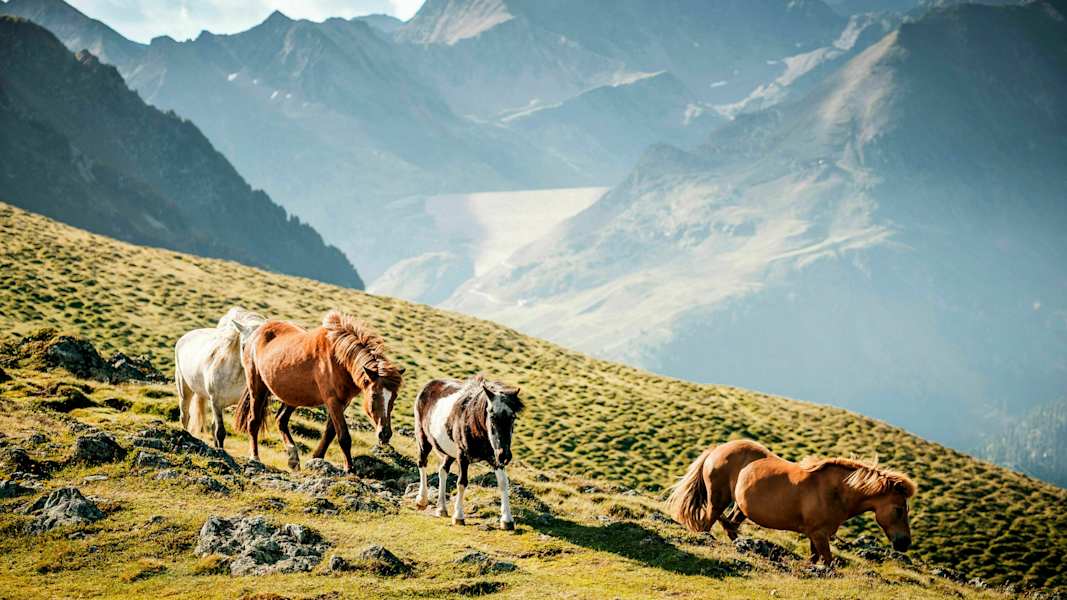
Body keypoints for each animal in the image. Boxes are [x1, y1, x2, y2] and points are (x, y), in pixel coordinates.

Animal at [174, 306, 266, 448]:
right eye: (244, 345)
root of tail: (184, 338)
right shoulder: (216, 402)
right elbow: (220, 432)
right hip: (185, 391)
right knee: (185, 416)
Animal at [234, 310, 404, 473]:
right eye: (374, 395)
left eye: (394, 397)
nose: (385, 434)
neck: (338, 359)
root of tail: (257, 332)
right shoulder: (332, 401)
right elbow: (343, 436)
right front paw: (350, 468)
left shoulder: (343, 402)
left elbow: (330, 433)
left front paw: (317, 458)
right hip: (257, 387)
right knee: (254, 421)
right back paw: (255, 457)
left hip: (294, 395)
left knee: (281, 420)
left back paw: (293, 459)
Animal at [413, 373, 523, 530]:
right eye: (492, 416)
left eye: (513, 417)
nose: (505, 455)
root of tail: (428, 385)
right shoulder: (463, 456)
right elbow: (462, 483)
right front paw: (459, 517)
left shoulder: (494, 458)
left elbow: (503, 482)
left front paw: (507, 519)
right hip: (423, 439)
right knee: (422, 463)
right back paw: (422, 500)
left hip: (450, 452)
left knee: (443, 470)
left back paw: (441, 508)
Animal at [667, 439, 916, 564]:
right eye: (898, 509)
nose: (904, 543)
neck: (834, 491)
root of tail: (717, 449)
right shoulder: (819, 535)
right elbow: (828, 561)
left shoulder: (816, 536)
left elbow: (815, 559)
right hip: (718, 500)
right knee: (709, 523)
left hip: (740, 507)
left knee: (730, 526)